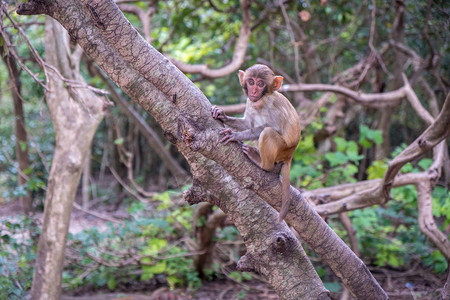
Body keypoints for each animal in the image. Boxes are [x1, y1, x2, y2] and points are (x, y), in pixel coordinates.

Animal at [212, 63, 302, 223]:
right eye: (251, 82)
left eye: (260, 84)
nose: (253, 91)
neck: (262, 101)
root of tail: (290, 154)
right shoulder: (250, 102)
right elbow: (248, 123)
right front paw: (223, 115)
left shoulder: (274, 106)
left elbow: (272, 128)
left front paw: (235, 135)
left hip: (283, 149)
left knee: (267, 132)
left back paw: (263, 164)